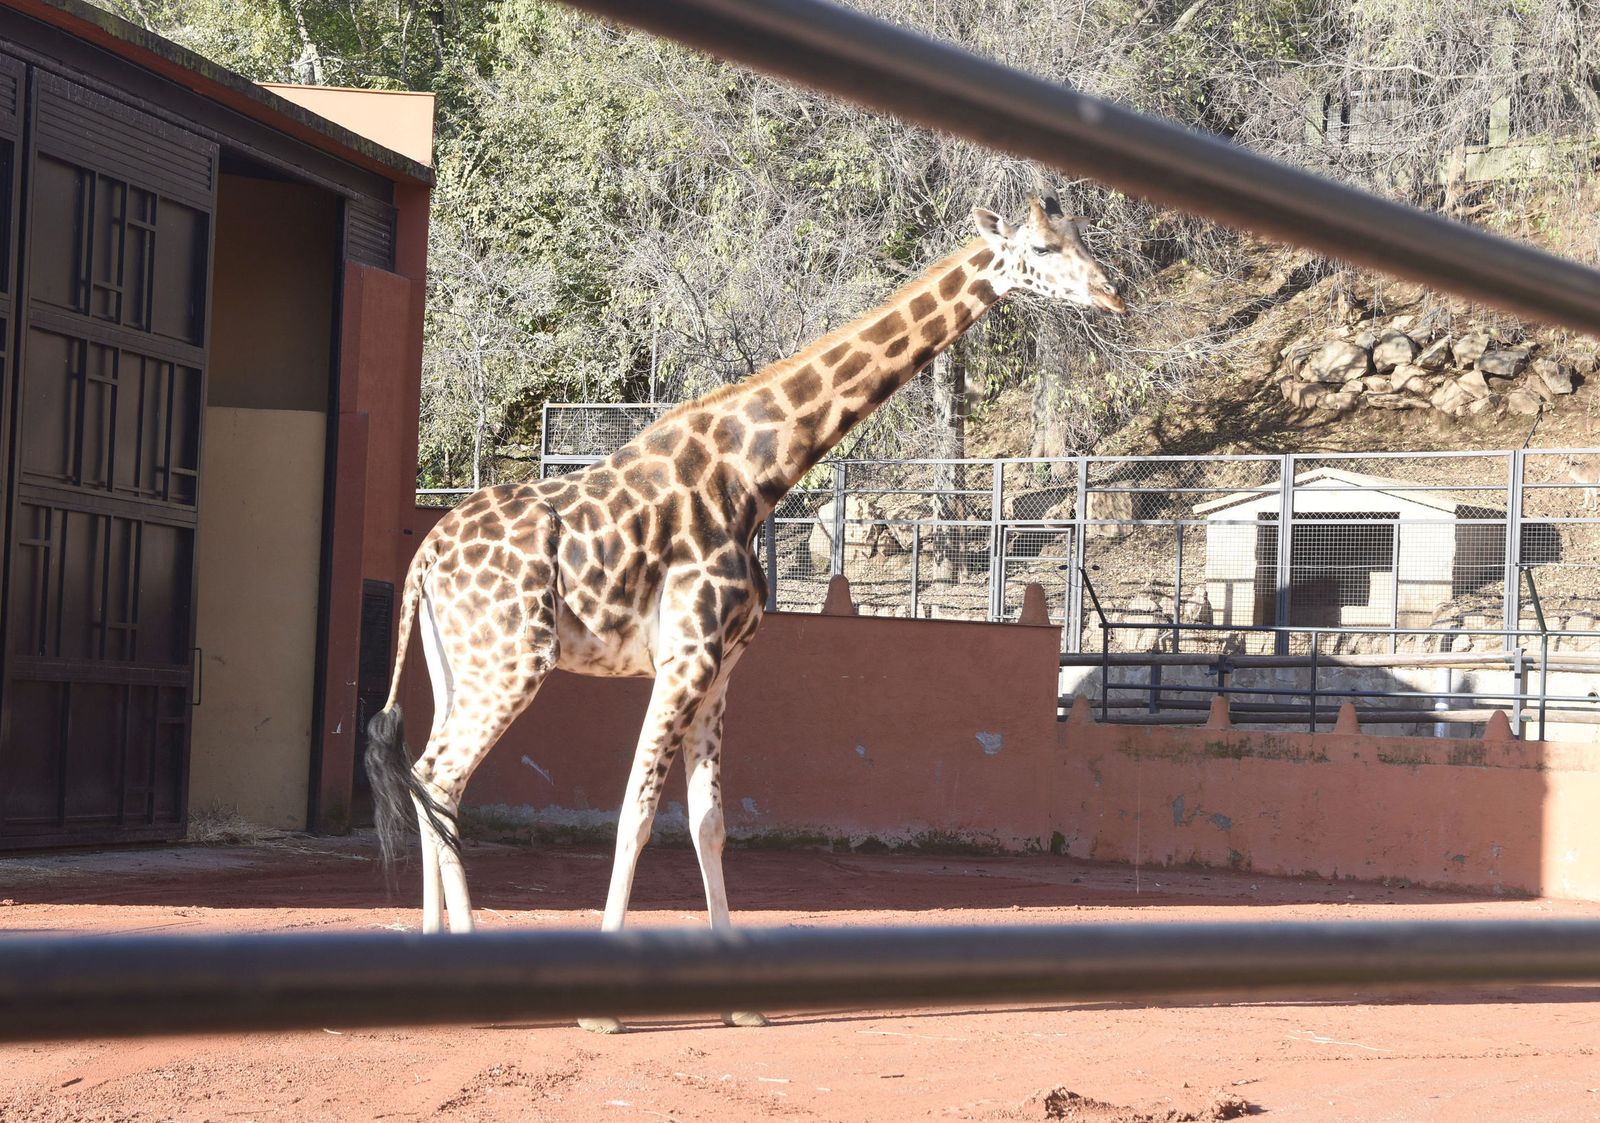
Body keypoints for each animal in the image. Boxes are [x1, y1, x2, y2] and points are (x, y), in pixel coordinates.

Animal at [365, 194, 1126, 1032]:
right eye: (1041, 248)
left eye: (1085, 235)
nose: (1115, 294)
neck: (755, 475)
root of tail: (426, 556)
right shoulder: (684, 657)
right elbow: (636, 812)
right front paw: (602, 1011)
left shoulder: (724, 665)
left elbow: (708, 820)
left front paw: (742, 1004)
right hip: (512, 659)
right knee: (441, 774)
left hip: (457, 662)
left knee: (431, 773)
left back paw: (438, 951)